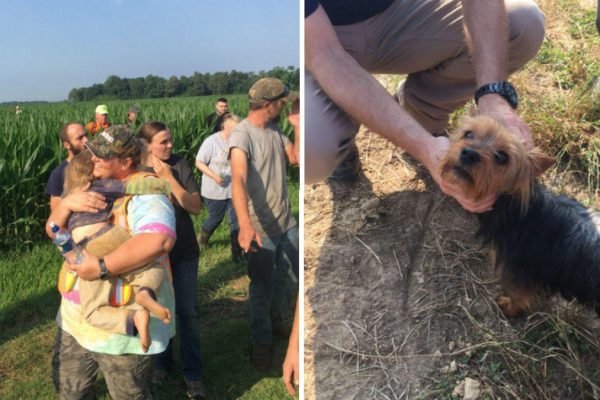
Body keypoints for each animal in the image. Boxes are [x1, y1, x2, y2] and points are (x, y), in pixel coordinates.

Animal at [438, 115, 600, 318]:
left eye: (502, 157)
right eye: (468, 134)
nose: (469, 154)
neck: (513, 208)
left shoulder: (521, 272)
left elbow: (519, 296)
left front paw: (509, 308)